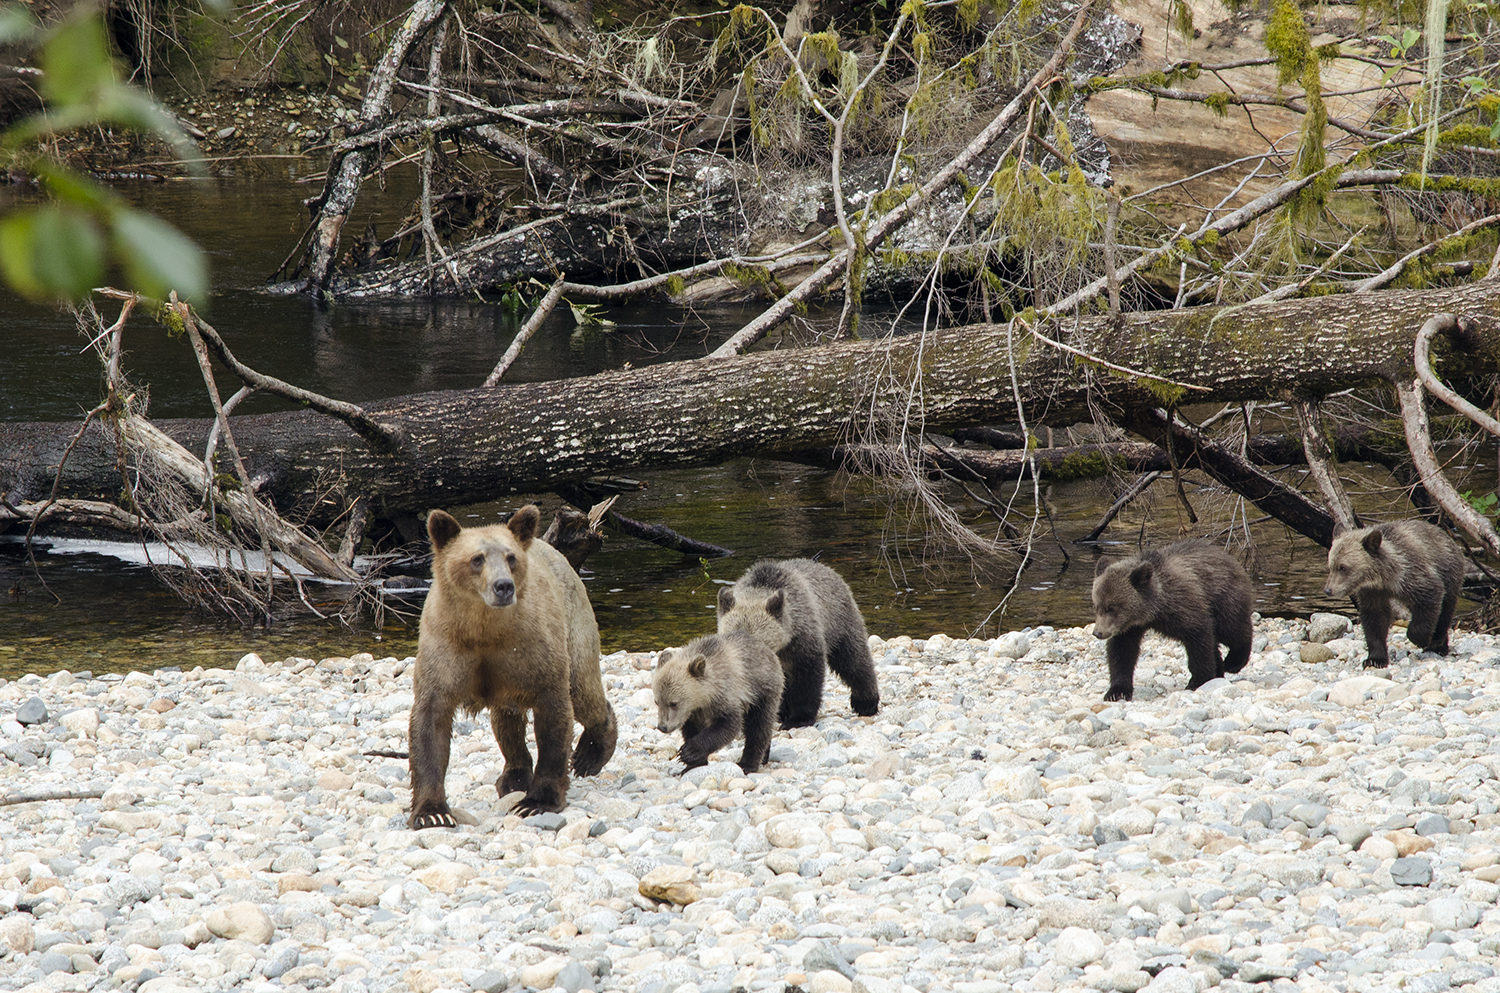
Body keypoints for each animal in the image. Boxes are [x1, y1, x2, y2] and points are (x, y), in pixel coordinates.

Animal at [407, 505, 617, 828]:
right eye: (476, 558)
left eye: (511, 557)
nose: (503, 586)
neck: (485, 630)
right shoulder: (445, 650)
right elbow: (430, 722)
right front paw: (432, 812)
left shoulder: (533, 651)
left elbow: (554, 717)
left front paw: (537, 802)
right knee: (506, 720)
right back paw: (514, 775)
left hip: (573, 626)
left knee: (583, 691)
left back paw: (589, 754)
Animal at [653, 629, 784, 773]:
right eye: (657, 702)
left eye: (673, 703)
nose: (663, 727)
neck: (705, 696)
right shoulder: (694, 712)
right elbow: (691, 729)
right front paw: (693, 764)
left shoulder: (726, 696)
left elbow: (728, 724)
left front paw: (689, 751)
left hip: (762, 692)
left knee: (758, 726)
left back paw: (748, 764)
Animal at [716, 558, 879, 727]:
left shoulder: (803, 641)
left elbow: (806, 679)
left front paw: (799, 718)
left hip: (840, 622)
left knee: (853, 660)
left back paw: (866, 703)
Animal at [1090, 541, 1254, 701]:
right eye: (1097, 606)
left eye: (1112, 608)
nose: (1098, 632)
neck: (1153, 610)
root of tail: (1232, 559)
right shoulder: (1128, 628)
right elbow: (1121, 652)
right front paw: (1117, 691)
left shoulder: (1184, 607)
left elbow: (1198, 639)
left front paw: (1197, 681)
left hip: (1224, 598)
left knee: (1232, 629)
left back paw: (1233, 662)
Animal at [1322, 519, 1465, 669]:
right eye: (1331, 566)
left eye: (1343, 567)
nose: (1328, 590)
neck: (1384, 578)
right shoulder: (1373, 592)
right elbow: (1375, 619)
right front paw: (1375, 659)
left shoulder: (1412, 576)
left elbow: (1431, 596)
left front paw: (1421, 639)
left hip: (1450, 573)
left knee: (1445, 610)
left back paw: (1438, 645)